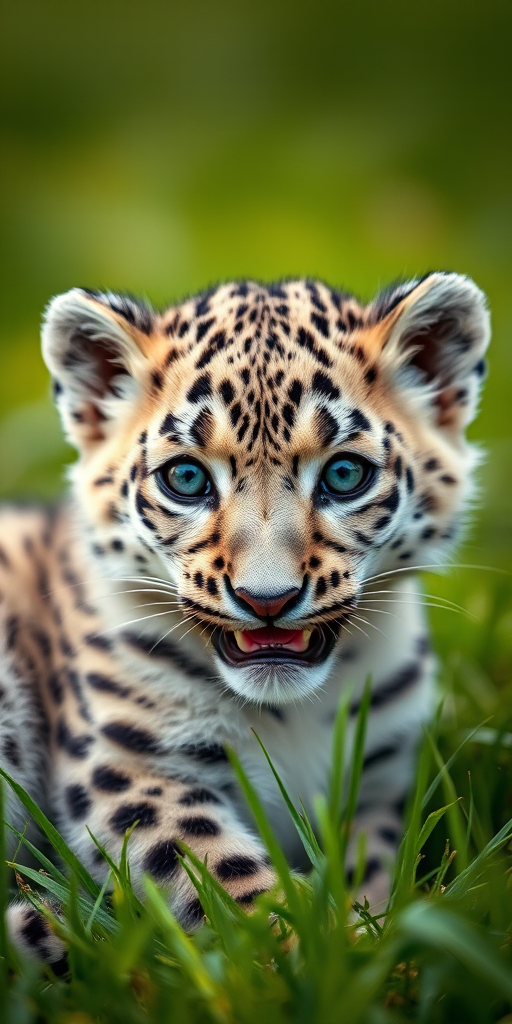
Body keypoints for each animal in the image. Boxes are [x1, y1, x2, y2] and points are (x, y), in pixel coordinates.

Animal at [0, 272, 489, 967]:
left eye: (345, 474)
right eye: (185, 478)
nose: (267, 600)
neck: (294, 715)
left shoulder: (382, 780)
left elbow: (376, 870)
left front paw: (375, 939)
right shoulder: (133, 768)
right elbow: (217, 872)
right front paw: (307, 948)